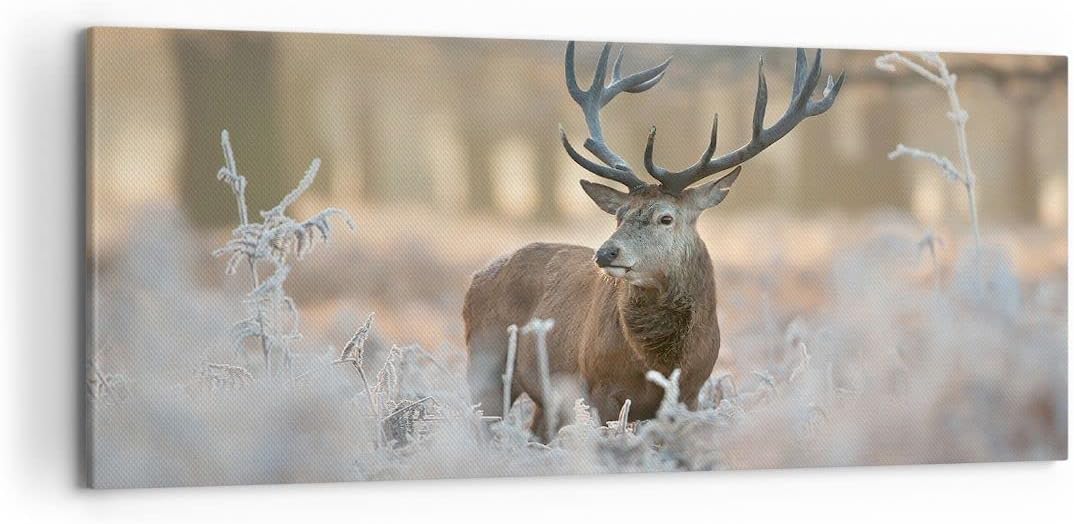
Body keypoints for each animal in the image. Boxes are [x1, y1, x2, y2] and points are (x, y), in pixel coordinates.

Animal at [464, 42, 844, 441]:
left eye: (666, 217)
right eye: (619, 214)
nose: (606, 252)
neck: (659, 362)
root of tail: (477, 277)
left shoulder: (691, 393)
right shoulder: (597, 389)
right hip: (485, 364)